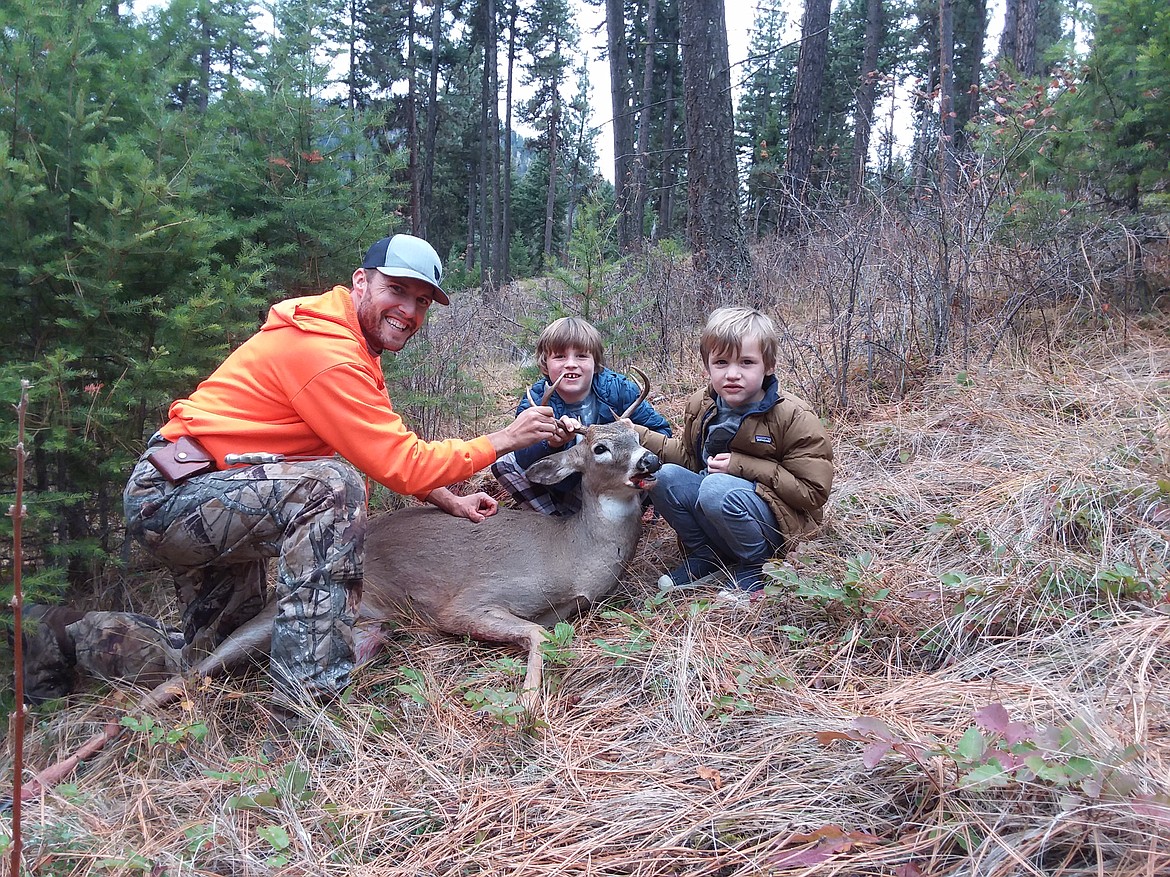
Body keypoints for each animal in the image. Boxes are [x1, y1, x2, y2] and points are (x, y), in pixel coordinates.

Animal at [16, 371, 659, 804]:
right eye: (601, 446)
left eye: (637, 432)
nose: (650, 464)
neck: (570, 556)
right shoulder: (470, 602)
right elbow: (536, 637)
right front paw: (527, 706)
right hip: (267, 613)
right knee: (189, 675)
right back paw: (42, 771)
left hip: (371, 628)